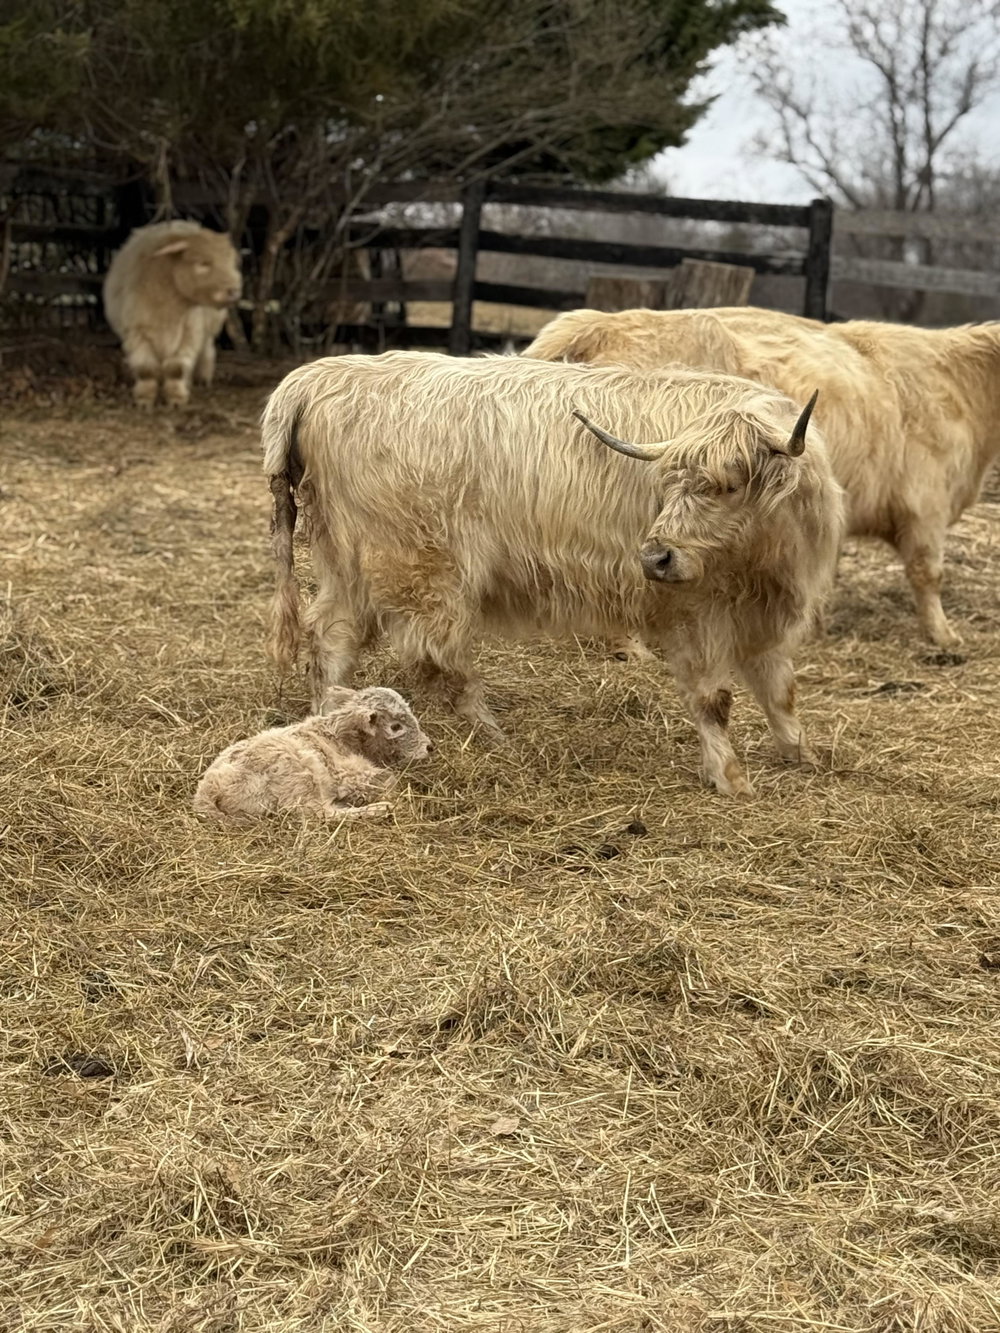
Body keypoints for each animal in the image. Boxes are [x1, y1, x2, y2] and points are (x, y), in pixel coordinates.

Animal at [193, 686, 432, 825]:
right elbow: (389, 779)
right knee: (319, 814)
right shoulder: (347, 774)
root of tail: (207, 790)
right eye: (396, 726)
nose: (430, 747)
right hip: (300, 778)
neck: (339, 737)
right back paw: (379, 809)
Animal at [262, 352, 844, 797]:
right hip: (420, 568)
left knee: (332, 638)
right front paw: (730, 776)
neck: (762, 563)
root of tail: (321, 375)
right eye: (669, 482)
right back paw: (495, 738)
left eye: (728, 485)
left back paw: (330, 721)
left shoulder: (766, 616)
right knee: (441, 659)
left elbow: (779, 690)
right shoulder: (690, 613)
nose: (654, 557)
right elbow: (713, 699)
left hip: (350, 566)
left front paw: (801, 754)